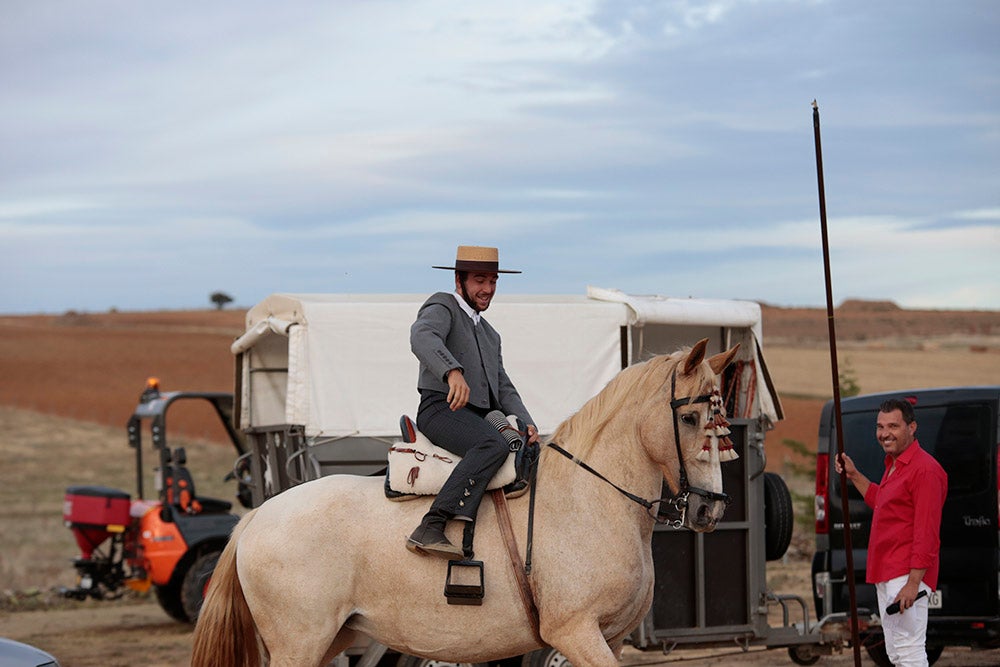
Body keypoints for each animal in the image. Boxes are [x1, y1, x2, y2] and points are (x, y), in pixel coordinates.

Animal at [191, 342, 740, 664]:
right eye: (690, 418)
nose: (710, 509)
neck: (590, 498)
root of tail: (260, 515)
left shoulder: (612, 638)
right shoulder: (576, 633)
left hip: (333, 640)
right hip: (299, 643)